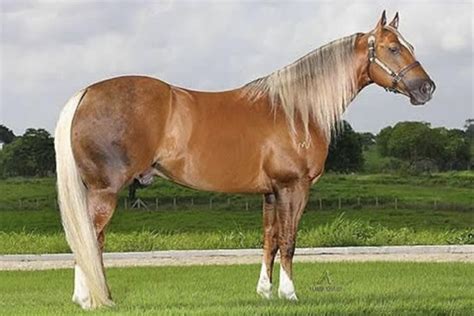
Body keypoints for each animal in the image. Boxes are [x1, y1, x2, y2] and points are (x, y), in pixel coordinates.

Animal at [54, 11, 434, 310]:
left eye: (411, 47)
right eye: (393, 48)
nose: (427, 88)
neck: (297, 110)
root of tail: (86, 93)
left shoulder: (271, 192)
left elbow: (270, 240)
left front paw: (265, 292)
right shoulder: (293, 188)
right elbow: (289, 240)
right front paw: (290, 294)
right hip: (105, 191)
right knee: (90, 238)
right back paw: (91, 299)